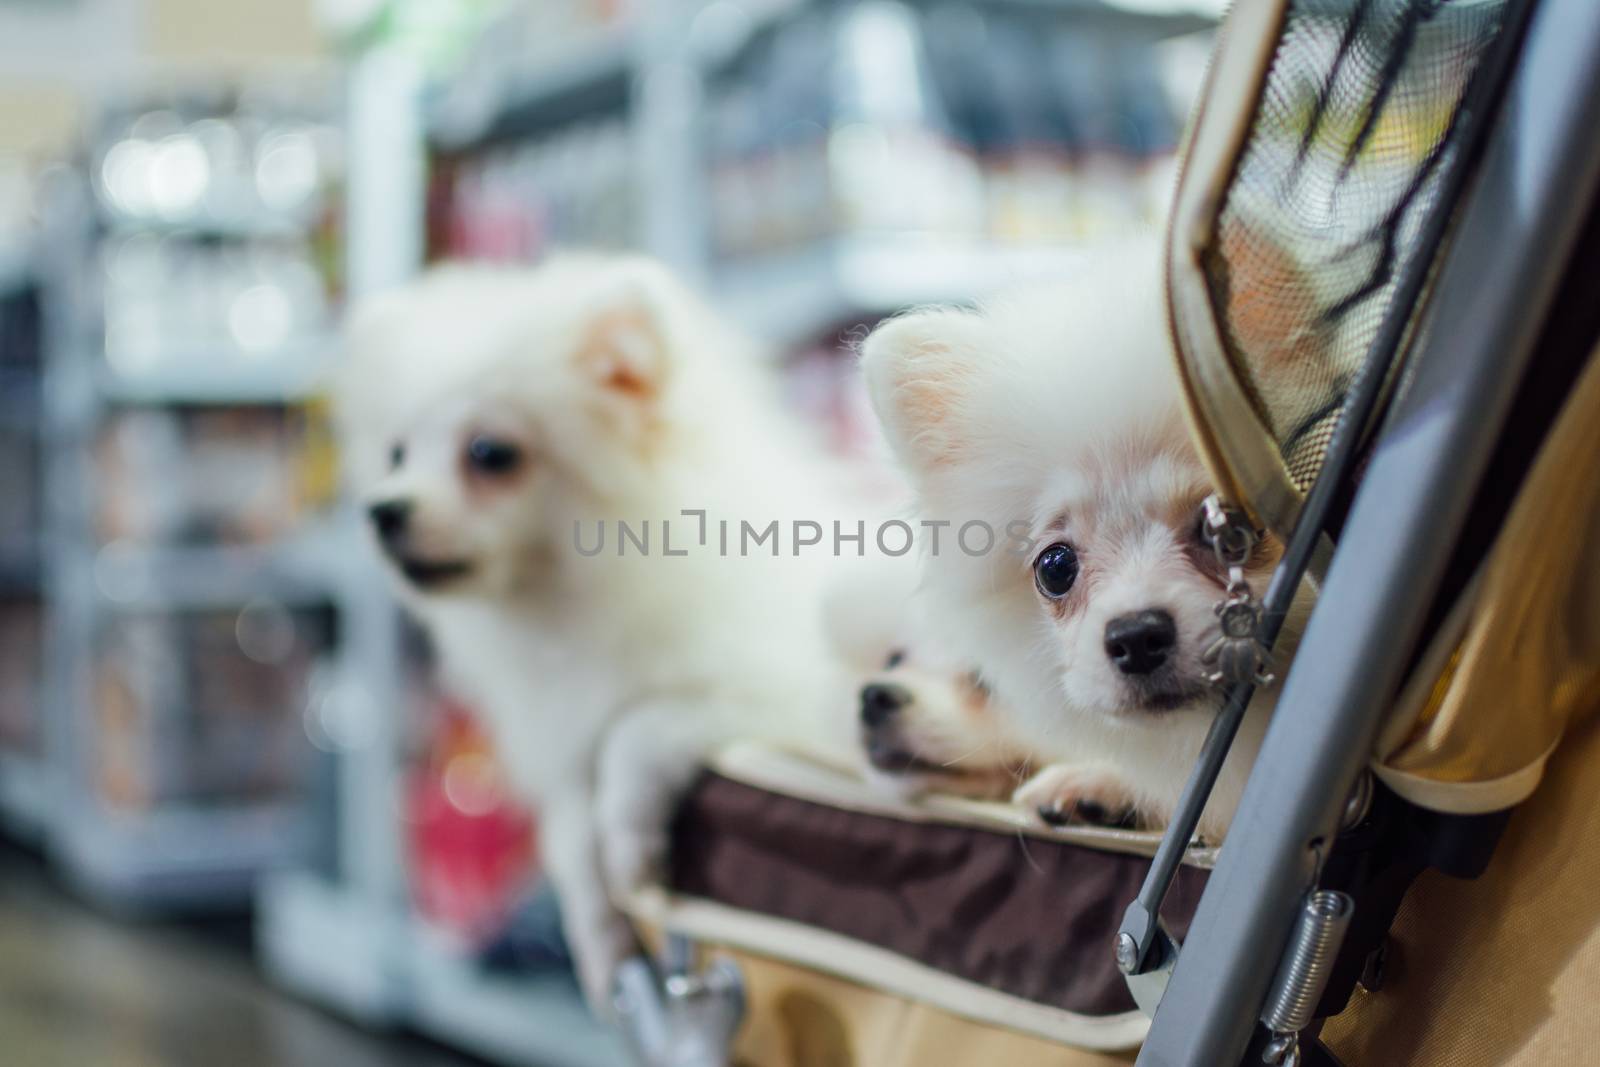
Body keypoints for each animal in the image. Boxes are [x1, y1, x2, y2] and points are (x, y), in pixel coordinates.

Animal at [336, 254, 876, 1004]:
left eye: (489, 452)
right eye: (395, 454)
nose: (381, 511)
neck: (566, 603)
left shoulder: (783, 701)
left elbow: (641, 727)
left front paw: (627, 843)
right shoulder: (567, 743)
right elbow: (568, 829)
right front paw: (597, 933)